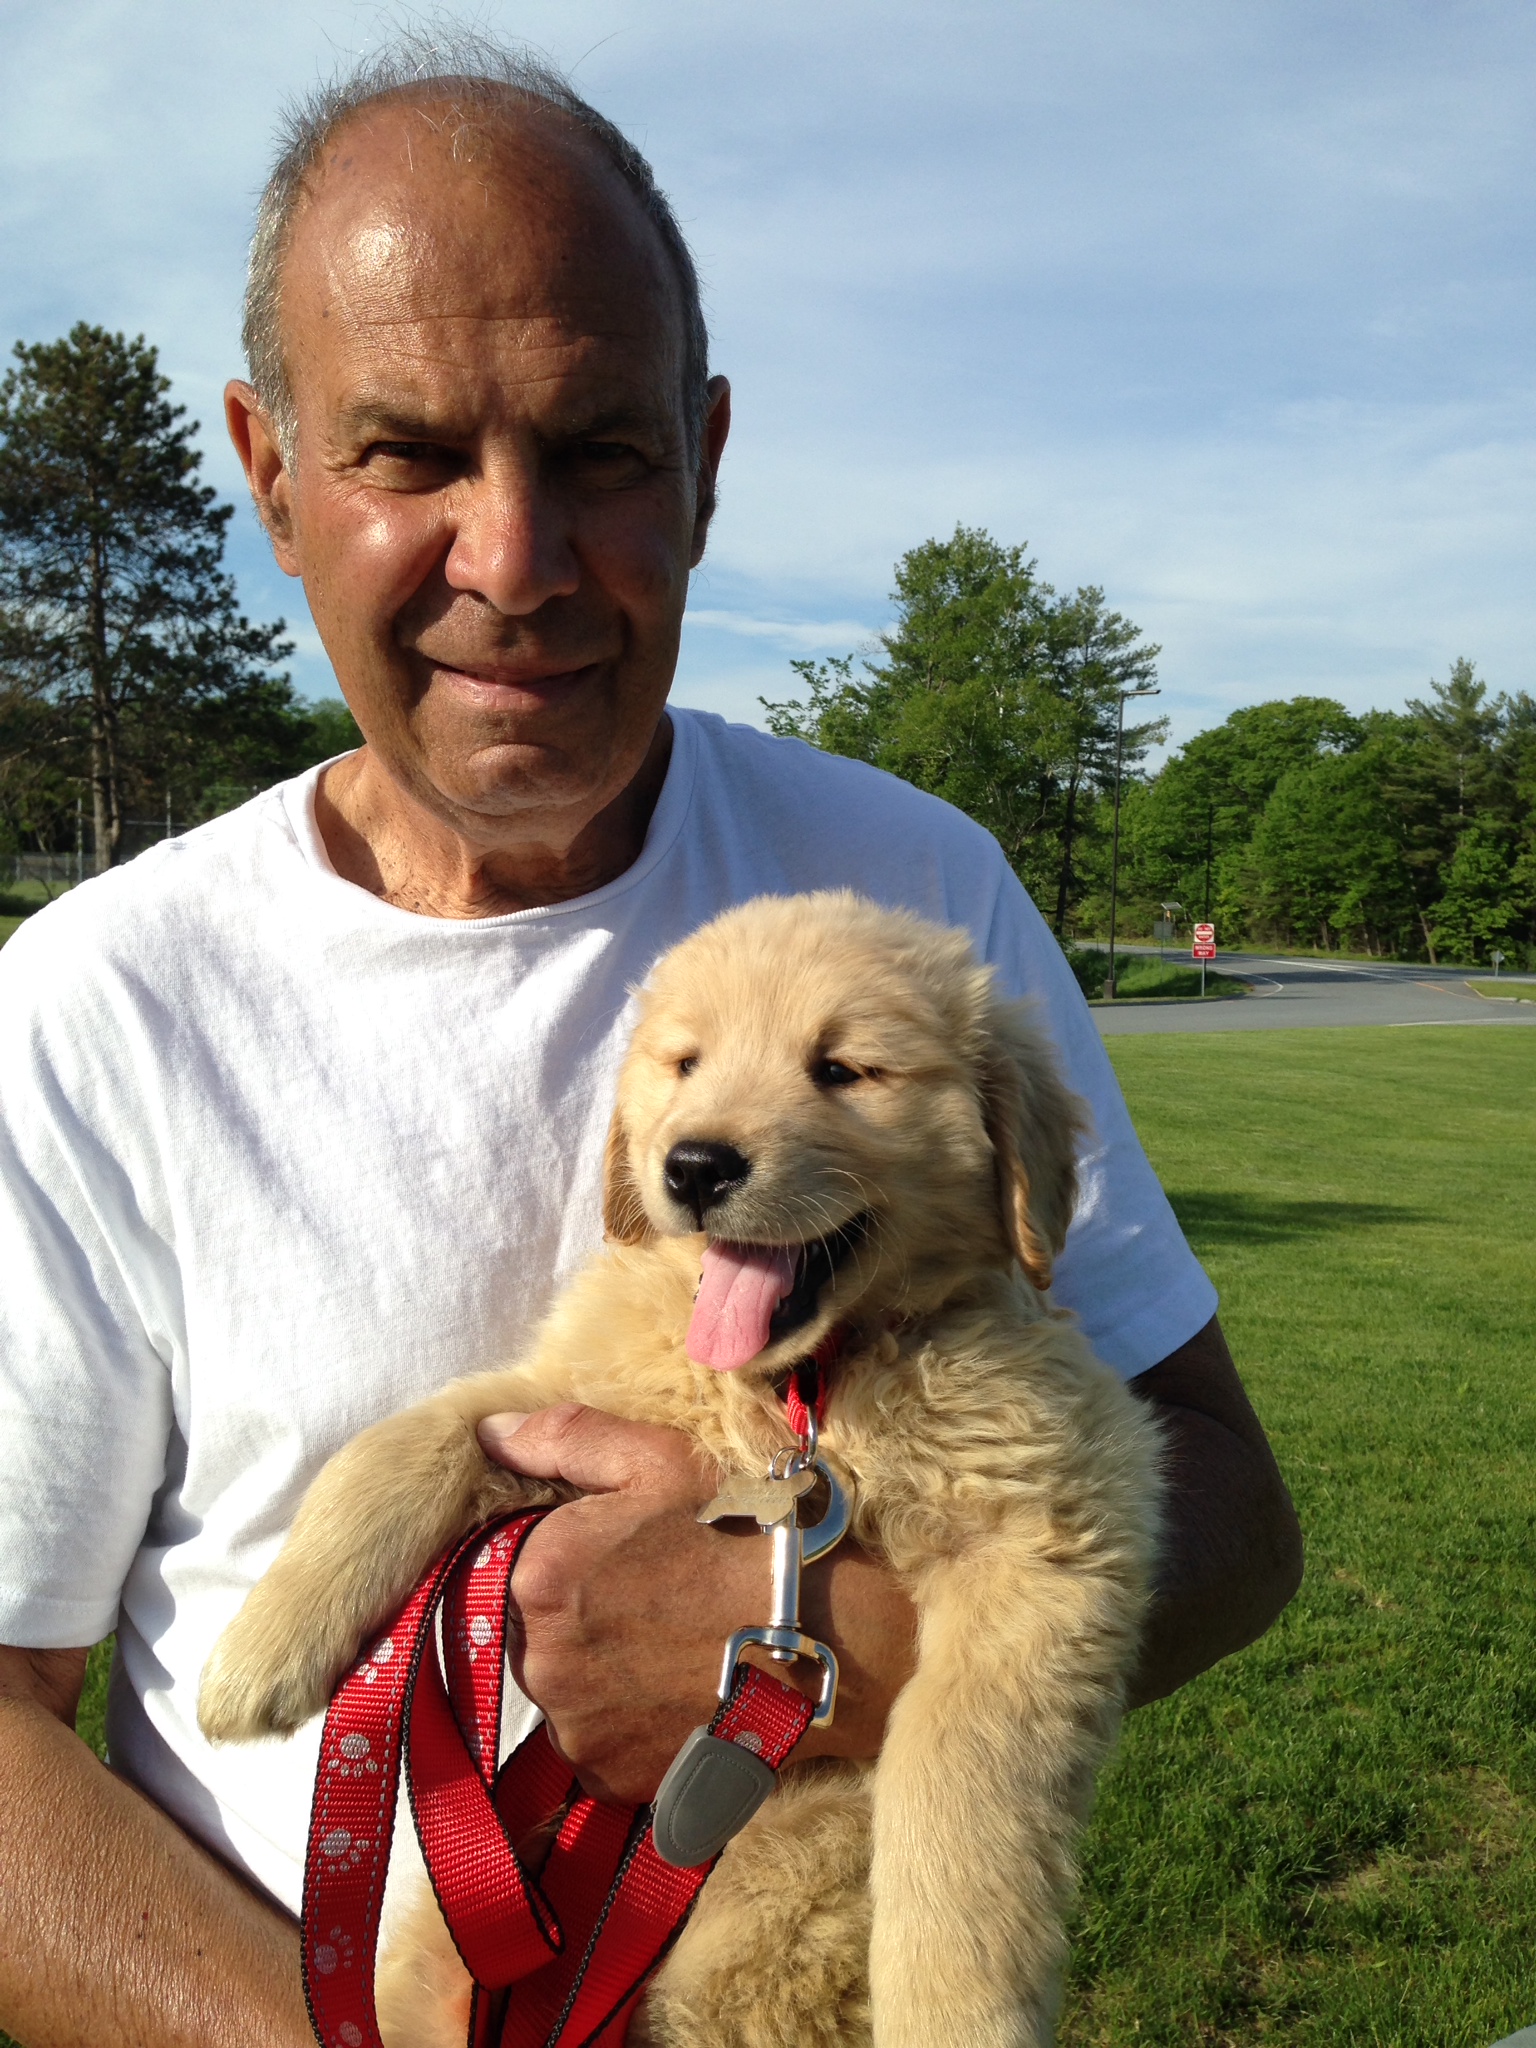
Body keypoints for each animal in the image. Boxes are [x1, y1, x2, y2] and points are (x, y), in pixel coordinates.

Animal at [201, 892, 1163, 2048]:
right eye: (686, 1063)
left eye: (843, 1068)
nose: (696, 1166)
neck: (799, 1387)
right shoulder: (553, 1400)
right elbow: (393, 1444)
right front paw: (258, 1651)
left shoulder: (1049, 1535)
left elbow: (962, 1787)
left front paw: (956, 2012)